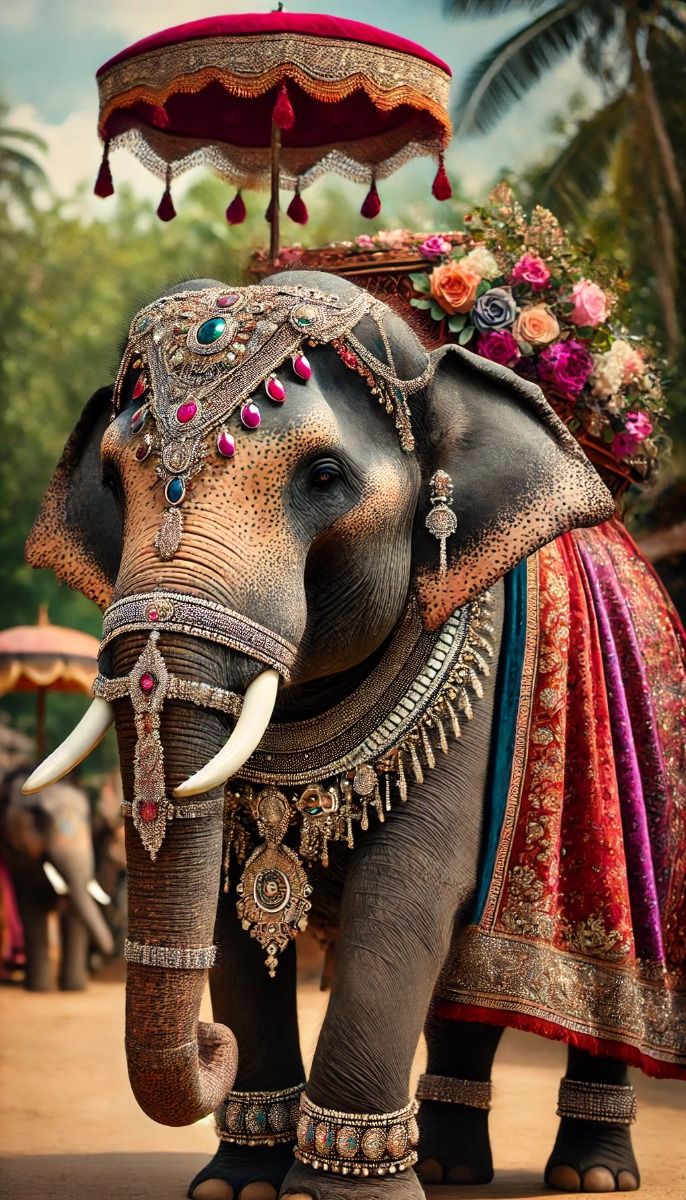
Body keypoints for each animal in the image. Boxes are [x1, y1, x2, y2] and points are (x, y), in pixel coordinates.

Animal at [0, 766, 114, 989]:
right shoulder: (16, 852)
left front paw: (74, 990)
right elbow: (31, 904)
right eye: (40, 819)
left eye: (88, 820)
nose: (110, 948)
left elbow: (72, 908)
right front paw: (39, 990)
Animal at [21, 271, 682, 1199]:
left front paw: (334, 1188)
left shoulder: (474, 674)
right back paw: (446, 1163)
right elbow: (225, 886)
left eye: (324, 476)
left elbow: (405, 888)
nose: (212, 1048)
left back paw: (590, 1176)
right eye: (114, 483)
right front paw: (237, 1184)